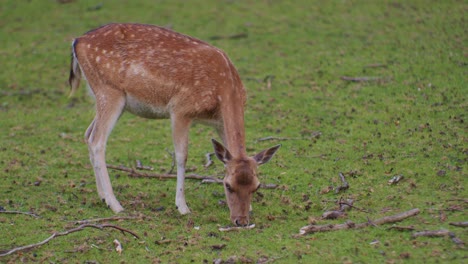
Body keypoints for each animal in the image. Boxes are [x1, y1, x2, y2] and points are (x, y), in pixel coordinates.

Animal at [68, 22, 282, 226]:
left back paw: (102, 197)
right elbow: (181, 156)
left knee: (88, 134)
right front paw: (182, 206)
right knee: (97, 141)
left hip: (104, 96)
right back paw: (116, 204)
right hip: (109, 91)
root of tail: (77, 41)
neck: (223, 90)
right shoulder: (180, 109)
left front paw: (251, 207)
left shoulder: (219, 123)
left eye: (257, 186)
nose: (241, 221)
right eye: (228, 185)